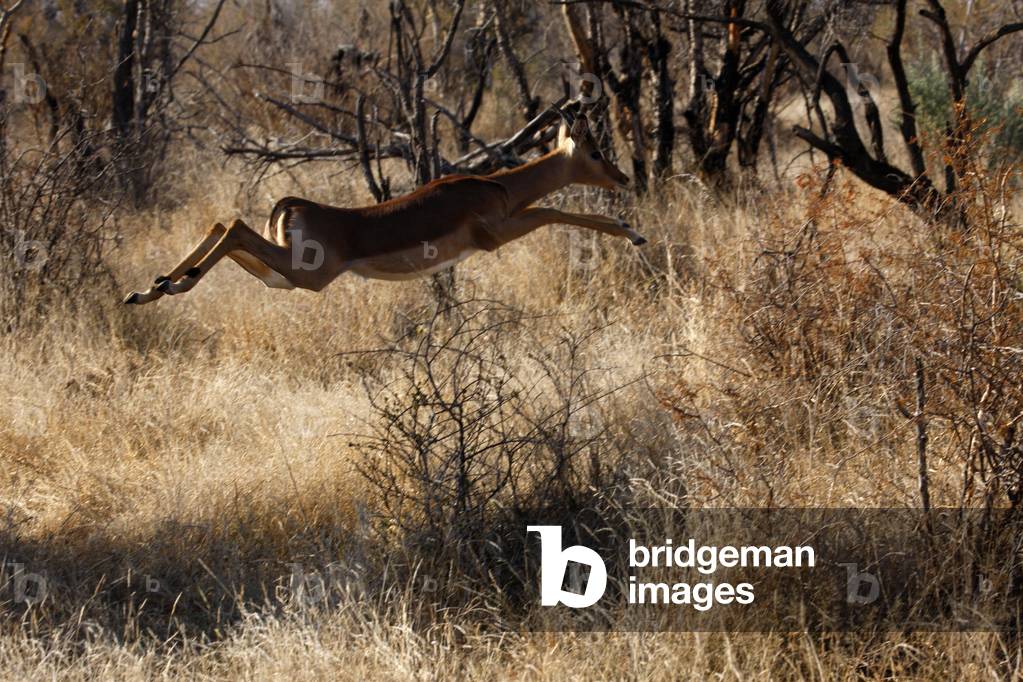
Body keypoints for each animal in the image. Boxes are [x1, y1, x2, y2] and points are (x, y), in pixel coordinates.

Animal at [122, 110, 646, 305]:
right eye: (594, 151)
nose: (622, 179)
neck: (496, 187)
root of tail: (292, 204)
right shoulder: (494, 235)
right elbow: (554, 212)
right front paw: (632, 231)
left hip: (285, 275)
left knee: (223, 226)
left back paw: (153, 287)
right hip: (306, 274)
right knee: (230, 225)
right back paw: (161, 288)